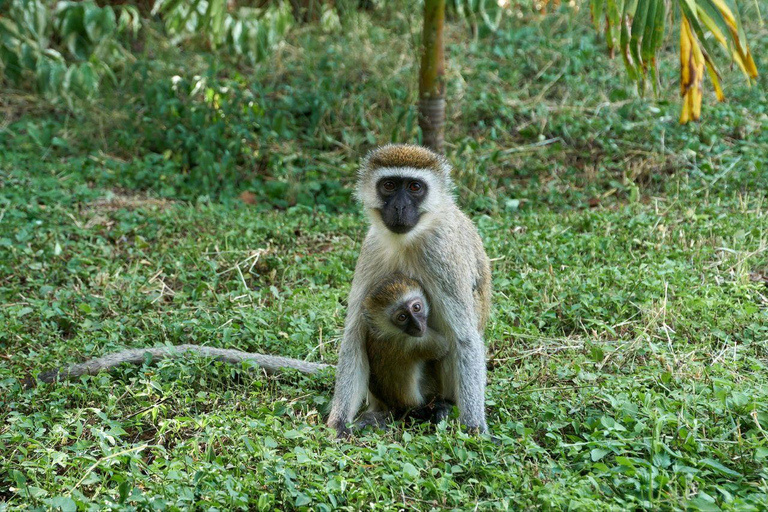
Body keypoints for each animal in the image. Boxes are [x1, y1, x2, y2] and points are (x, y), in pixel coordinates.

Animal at [327, 144, 492, 439]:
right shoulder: (372, 247)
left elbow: (464, 338)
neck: (406, 240)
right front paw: (339, 423)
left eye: (415, 187)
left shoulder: (439, 252)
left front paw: (474, 430)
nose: (400, 206)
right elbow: (354, 334)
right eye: (389, 185)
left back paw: (439, 408)